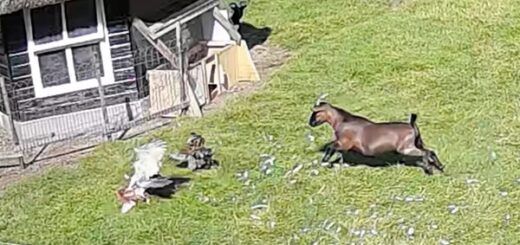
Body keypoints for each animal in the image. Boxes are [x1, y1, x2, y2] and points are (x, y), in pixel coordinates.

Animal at [306, 94, 444, 175]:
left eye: (315, 113)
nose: (310, 123)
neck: (342, 121)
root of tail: (412, 125)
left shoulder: (344, 143)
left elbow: (331, 147)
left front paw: (325, 160)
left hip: (406, 148)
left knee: (426, 153)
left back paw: (429, 169)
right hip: (417, 143)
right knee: (431, 151)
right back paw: (440, 166)